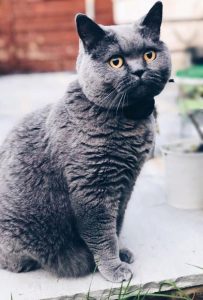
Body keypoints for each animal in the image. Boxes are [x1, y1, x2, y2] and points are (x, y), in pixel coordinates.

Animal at [0, 1, 170, 284]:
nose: (139, 71)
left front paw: (121, 254)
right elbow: (102, 232)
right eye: (116, 61)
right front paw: (114, 268)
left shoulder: (126, 183)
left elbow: (117, 223)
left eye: (149, 55)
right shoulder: (93, 187)